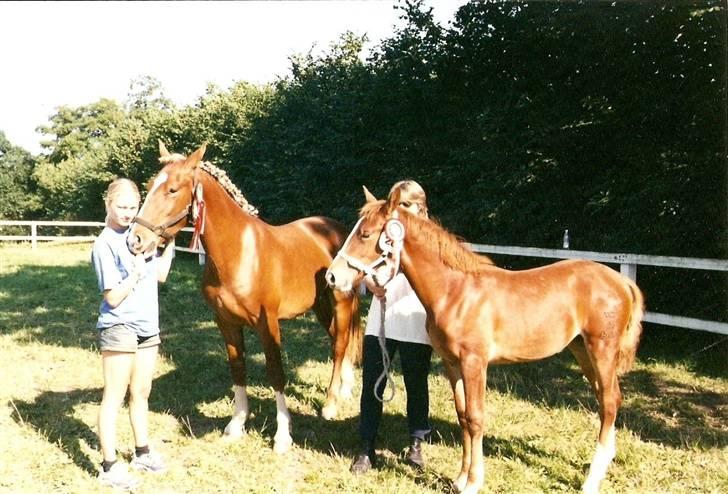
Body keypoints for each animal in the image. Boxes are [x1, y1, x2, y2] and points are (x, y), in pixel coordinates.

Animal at [129, 142, 362, 452]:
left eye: (173, 190)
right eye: (151, 185)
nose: (135, 240)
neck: (239, 252)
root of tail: (338, 230)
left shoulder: (268, 324)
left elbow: (276, 373)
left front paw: (283, 435)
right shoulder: (226, 322)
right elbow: (238, 369)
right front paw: (236, 425)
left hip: (341, 302)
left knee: (339, 346)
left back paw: (330, 404)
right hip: (321, 306)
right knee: (339, 338)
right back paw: (345, 389)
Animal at [326, 187, 644, 492]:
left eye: (366, 234)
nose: (332, 277)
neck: (455, 291)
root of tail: (621, 281)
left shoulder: (474, 363)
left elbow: (477, 418)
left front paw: (474, 482)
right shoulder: (453, 364)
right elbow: (464, 417)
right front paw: (459, 479)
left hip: (601, 350)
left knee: (611, 400)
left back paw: (591, 480)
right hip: (582, 351)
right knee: (605, 401)